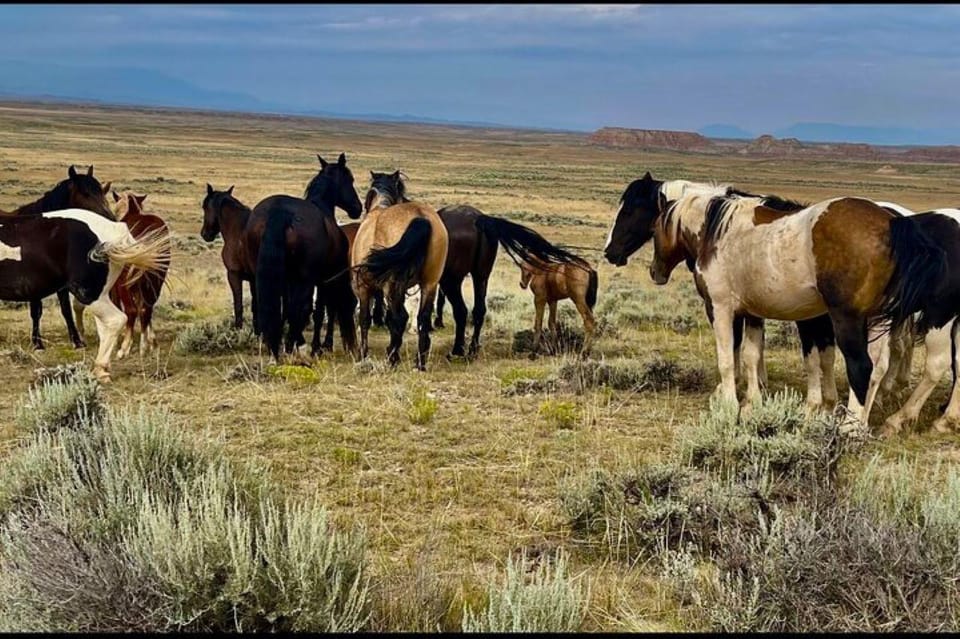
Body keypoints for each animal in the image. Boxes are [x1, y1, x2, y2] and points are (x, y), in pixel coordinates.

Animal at [0, 164, 113, 350]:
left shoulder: (61, 283)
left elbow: (66, 309)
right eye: (85, 193)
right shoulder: (33, 281)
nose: (111, 218)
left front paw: (77, 341)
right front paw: (37, 343)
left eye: (102, 192)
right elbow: (36, 310)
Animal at [0, 208, 169, 382]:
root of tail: (116, 230)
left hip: (89, 294)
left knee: (116, 320)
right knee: (105, 327)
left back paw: (100, 369)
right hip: (101, 295)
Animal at [105, 190, 172, 360]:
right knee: (147, 309)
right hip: (156, 281)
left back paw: (124, 349)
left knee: (132, 311)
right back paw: (146, 347)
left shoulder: (117, 287)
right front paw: (150, 341)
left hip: (125, 284)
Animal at [253, 151, 362, 360]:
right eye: (350, 179)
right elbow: (319, 311)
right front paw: (316, 347)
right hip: (305, 278)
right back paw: (291, 346)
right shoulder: (324, 279)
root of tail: (281, 211)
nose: (357, 208)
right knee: (300, 308)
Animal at [364, 170, 584, 360]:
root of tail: (479, 219)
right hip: (481, 275)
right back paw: (471, 349)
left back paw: (457, 349)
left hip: (452, 280)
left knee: (461, 311)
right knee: (478, 310)